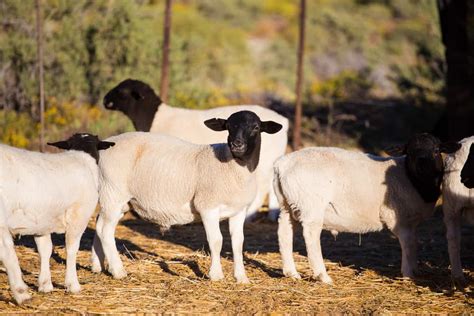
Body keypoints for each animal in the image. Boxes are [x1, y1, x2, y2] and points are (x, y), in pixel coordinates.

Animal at [0, 133, 115, 304]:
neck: (82, 157)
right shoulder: (78, 216)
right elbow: (72, 249)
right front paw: (72, 284)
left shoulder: (41, 221)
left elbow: (45, 250)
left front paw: (45, 285)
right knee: (8, 254)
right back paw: (22, 294)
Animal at [90, 110, 282, 282]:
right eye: (228, 126)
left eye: (256, 127)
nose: (237, 144)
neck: (233, 167)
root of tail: (105, 146)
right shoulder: (207, 206)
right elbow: (216, 241)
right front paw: (216, 275)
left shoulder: (239, 210)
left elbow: (238, 242)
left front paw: (241, 277)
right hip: (114, 193)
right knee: (105, 231)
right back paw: (118, 271)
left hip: (117, 199)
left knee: (99, 226)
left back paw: (97, 266)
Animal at [103, 78, 288, 220]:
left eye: (122, 92)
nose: (104, 101)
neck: (155, 118)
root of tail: (284, 122)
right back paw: (272, 215)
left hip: (264, 161)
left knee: (263, 187)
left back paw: (251, 215)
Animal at [272, 132, 462, 282]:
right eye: (410, 152)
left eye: (436, 150)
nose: (422, 166)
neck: (412, 179)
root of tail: (282, 164)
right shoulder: (398, 218)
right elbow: (409, 244)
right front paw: (408, 274)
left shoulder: (410, 221)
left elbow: (414, 243)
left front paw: (414, 270)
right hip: (311, 206)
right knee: (311, 235)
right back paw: (322, 276)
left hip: (288, 205)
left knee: (284, 232)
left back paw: (291, 273)